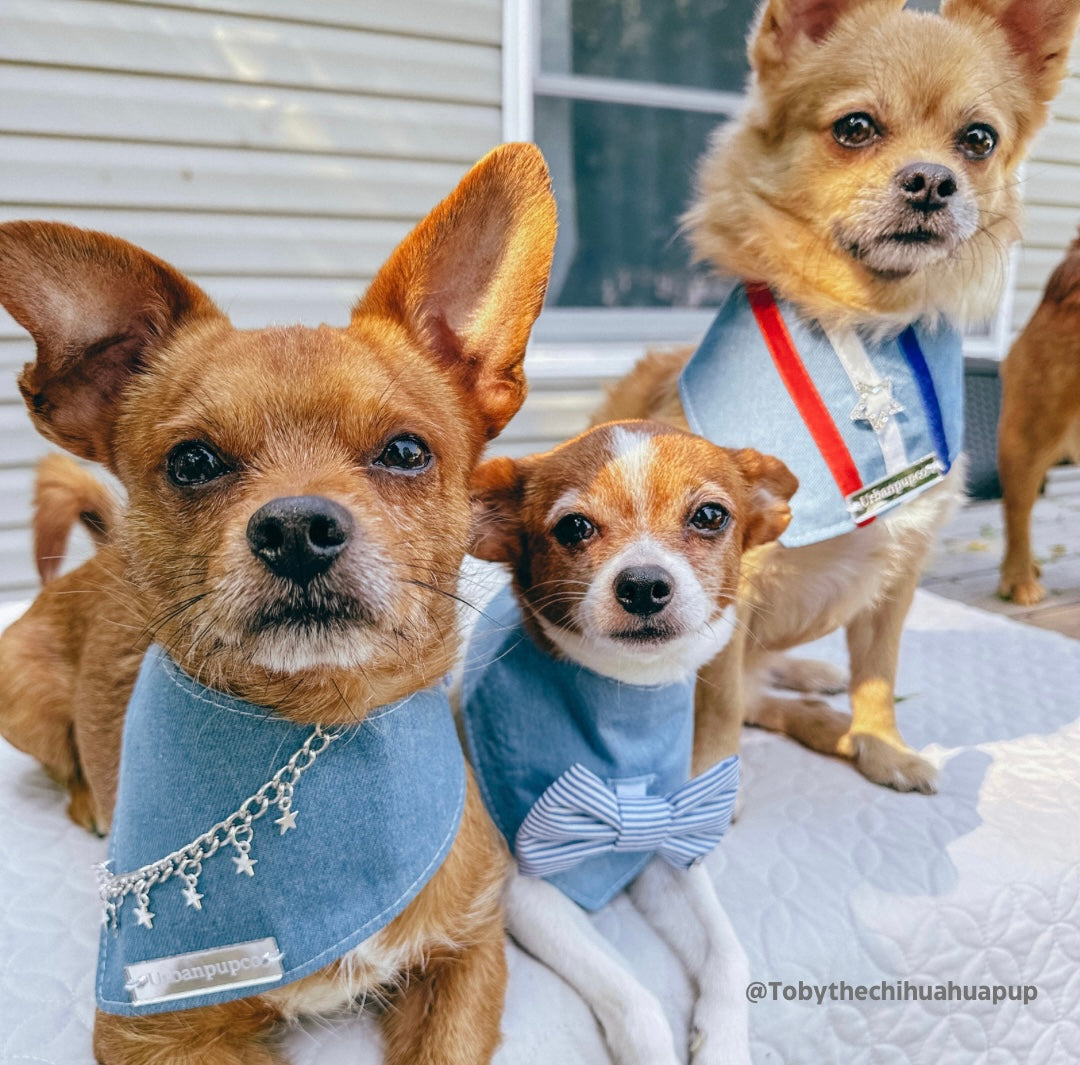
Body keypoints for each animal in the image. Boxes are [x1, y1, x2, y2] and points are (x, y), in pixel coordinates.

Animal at [0, 143, 557, 1062]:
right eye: (192, 462)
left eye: (407, 451)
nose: (298, 526)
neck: (317, 733)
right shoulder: (155, 1031)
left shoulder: (469, 951)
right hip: (19, 691)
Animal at [460, 419, 799, 1062]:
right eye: (573, 526)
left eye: (710, 516)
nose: (643, 584)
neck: (627, 708)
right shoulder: (525, 890)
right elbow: (631, 992)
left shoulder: (668, 844)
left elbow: (729, 956)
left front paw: (722, 1044)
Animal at [600, 0, 1080, 790]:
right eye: (855, 127)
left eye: (978, 141)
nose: (933, 180)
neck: (862, 329)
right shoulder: (727, 599)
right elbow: (719, 703)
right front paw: (715, 788)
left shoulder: (895, 579)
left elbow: (877, 673)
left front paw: (880, 742)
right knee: (752, 697)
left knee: (776, 685)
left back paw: (824, 704)